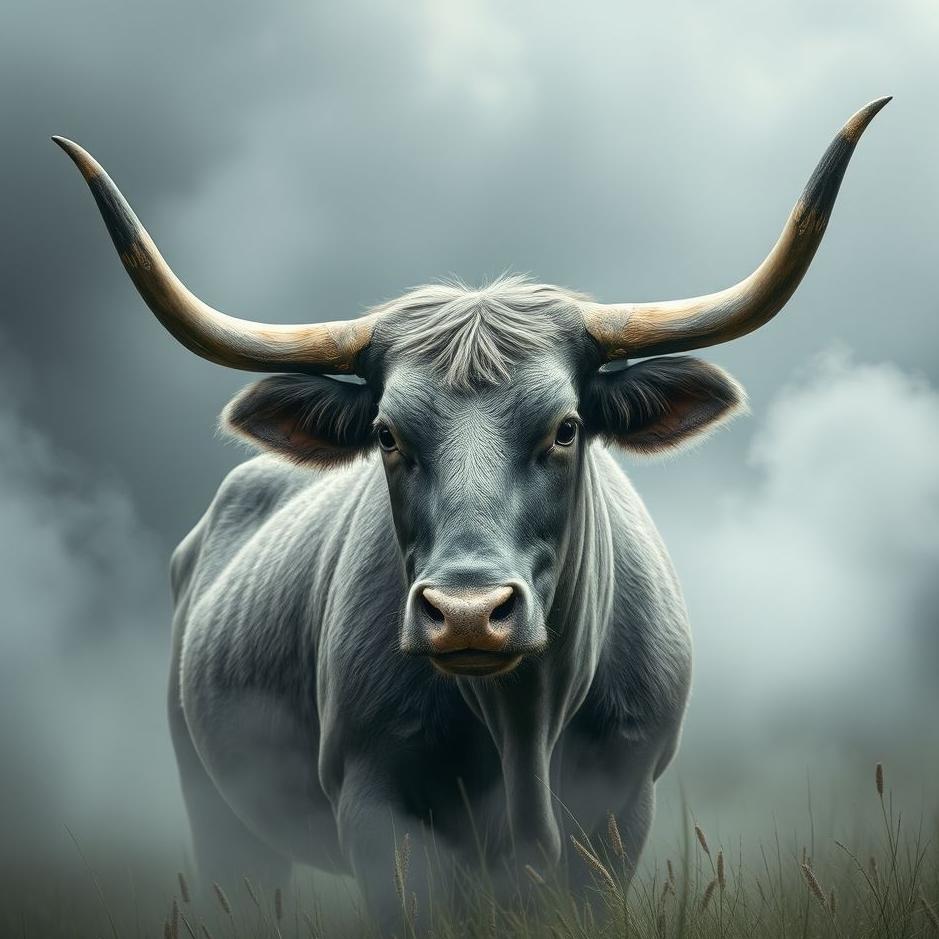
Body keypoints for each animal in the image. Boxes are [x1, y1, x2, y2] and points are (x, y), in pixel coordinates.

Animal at [55, 97, 888, 929]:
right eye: (386, 434)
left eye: (565, 427)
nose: (465, 612)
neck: (522, 727)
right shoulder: (380, 812)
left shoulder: (621, 809)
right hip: (220, 816)